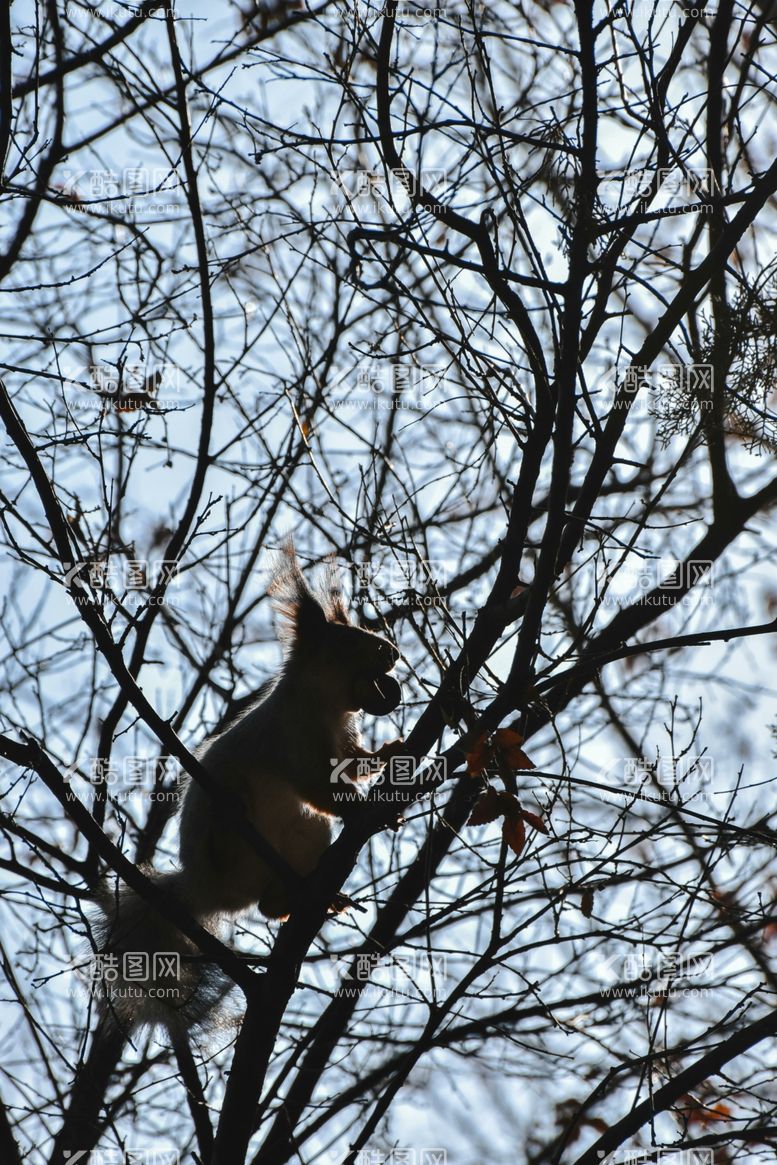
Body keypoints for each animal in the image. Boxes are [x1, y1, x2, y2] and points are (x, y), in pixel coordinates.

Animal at [92, 540, 400, 1034]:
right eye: (350, 640)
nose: (393, 652)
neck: (327, 704)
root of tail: (201, 889)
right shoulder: (292, 741)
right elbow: (319, 786)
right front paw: (362, 809)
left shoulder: (341, 740)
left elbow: (353, 766)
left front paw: (393, 751)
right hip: (229, 842)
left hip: (305, 837)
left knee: (270, 905)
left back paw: (310, 896)